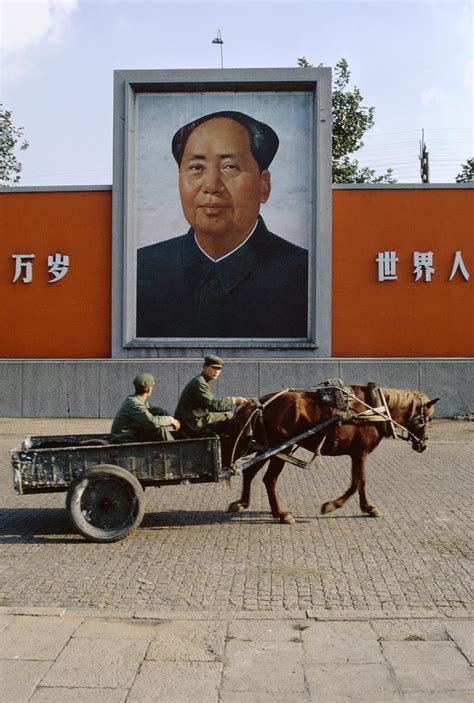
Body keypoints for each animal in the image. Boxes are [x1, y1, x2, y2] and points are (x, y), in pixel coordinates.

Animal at [224, 388, 438, 524]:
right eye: (426, 418)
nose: (424, 444)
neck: (374, 410)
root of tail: (260, 404)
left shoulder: (356, 454)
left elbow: (357, 481)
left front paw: (362, 507)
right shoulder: (360, 453)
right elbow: (358, 482)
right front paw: (337, 505)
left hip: (266, 447)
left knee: (249, 472)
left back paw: (242, 503)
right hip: (281, 449)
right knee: (269, 479)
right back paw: (281, 513)